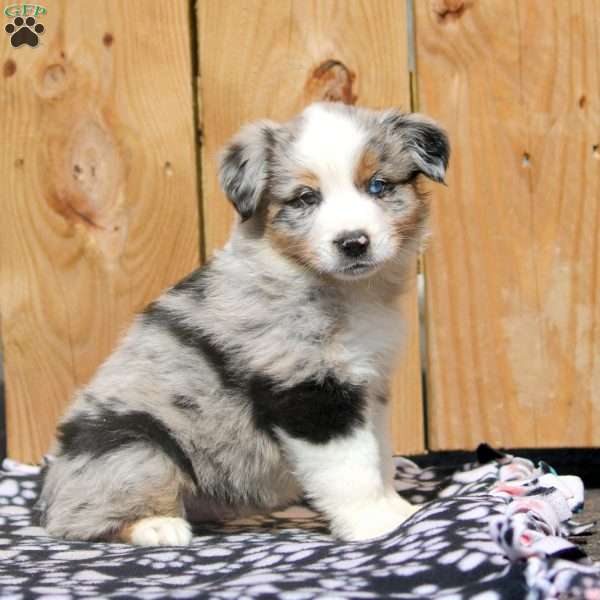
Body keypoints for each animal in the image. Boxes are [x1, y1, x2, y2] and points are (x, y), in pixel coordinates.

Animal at [38, 102, 450, 544]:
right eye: (306, 198)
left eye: (377, 186)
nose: (353, 242)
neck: (346, 290)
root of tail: (51, 496)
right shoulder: (310, 388)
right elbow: (351, 467)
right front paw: (375, 524)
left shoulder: (370, 386)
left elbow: (380, 455)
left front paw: (400, 509)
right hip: (132, 446)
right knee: (82, 519)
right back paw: (158, 525)